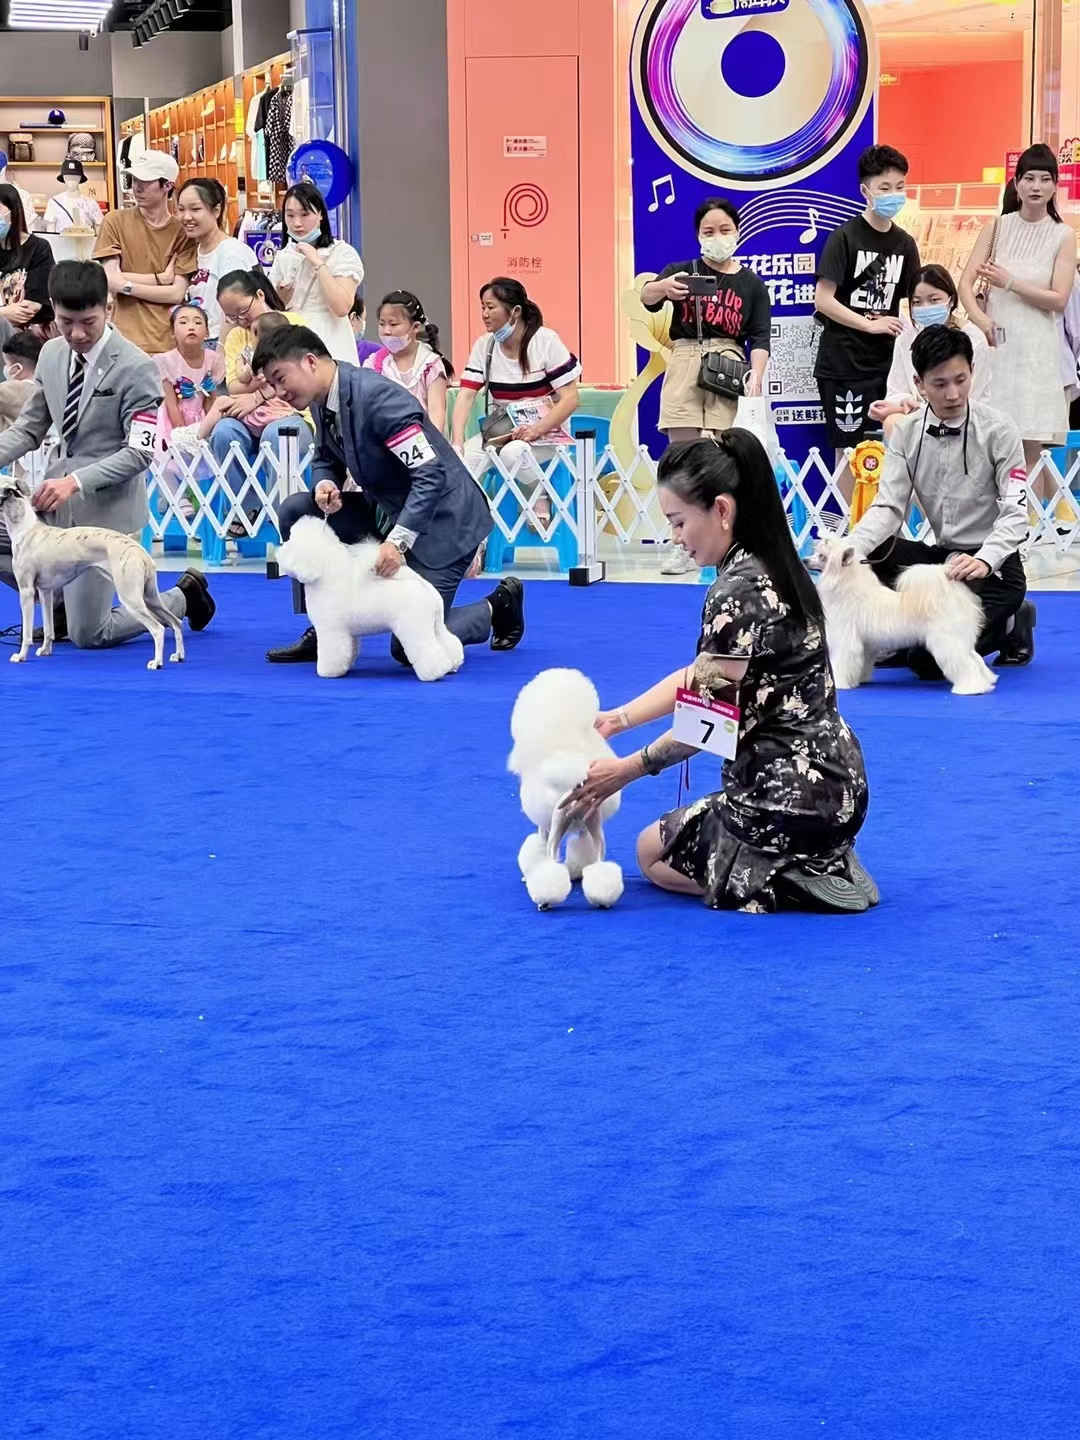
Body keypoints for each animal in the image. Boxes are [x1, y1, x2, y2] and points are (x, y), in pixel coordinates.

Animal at [0, 479, 184, 670]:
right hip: (150, 597)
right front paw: (45, 650)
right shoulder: (45, 592)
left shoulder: (26, 591)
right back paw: (178, 655)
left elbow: (27, 634)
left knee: (158, 629)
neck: (25, 528)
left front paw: (21, 656)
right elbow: (49, 629)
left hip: (131, 598)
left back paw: (157, 662)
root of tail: (140, 552)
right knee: (175, 622)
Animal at [275, 515, 465, 681]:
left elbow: (333, 653)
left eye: (291, 542)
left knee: (428, 650)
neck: (325, 576)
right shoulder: (348, 634)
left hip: (415, 628)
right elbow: (349, 651)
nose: (279, 551)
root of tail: (425, 588)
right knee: (449, 643)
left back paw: (434, 673)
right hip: (435, 625)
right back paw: (453, 665)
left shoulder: (331, 630)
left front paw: (327, 672)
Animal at [508, 668, 624, 909]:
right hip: (594, 824)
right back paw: (603, 897)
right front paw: (577, 871)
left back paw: (544, 900)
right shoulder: (582, 829)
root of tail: (574, 785)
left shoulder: (544, 827)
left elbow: (538, 849)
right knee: (600, 861)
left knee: (551, 861)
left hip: (558, 823)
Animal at [812, 536, 997, 696]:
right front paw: (860, 679)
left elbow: (840, 663)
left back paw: (970, 688)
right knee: (975, 658)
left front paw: (839, 683)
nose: (806, 560)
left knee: (966, 665)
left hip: (947, 642)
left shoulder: (846, 642)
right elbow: (863, 663)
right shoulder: (867, 646)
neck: (848, 588)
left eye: (822, 556)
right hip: (960, 640)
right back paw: (987, 681)